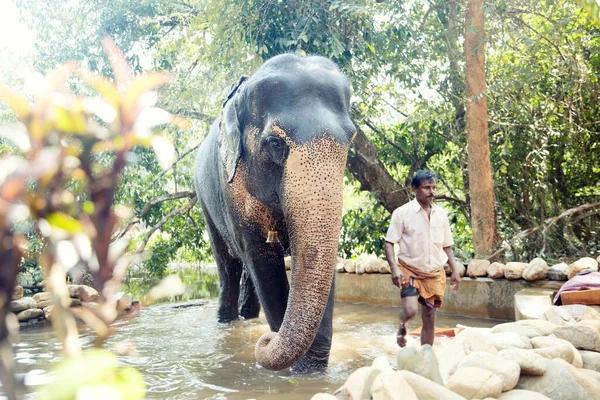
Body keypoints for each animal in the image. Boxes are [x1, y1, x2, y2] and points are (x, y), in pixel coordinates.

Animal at [193, 53, 356, 372]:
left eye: (351, 139)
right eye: (275, 143)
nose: (265, 341)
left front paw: (310, 371)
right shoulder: (231, 188)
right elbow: (262, 262)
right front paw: (296, 369)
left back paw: (248, 318)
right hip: (204, 200)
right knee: (227, 264)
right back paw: (227, 322)